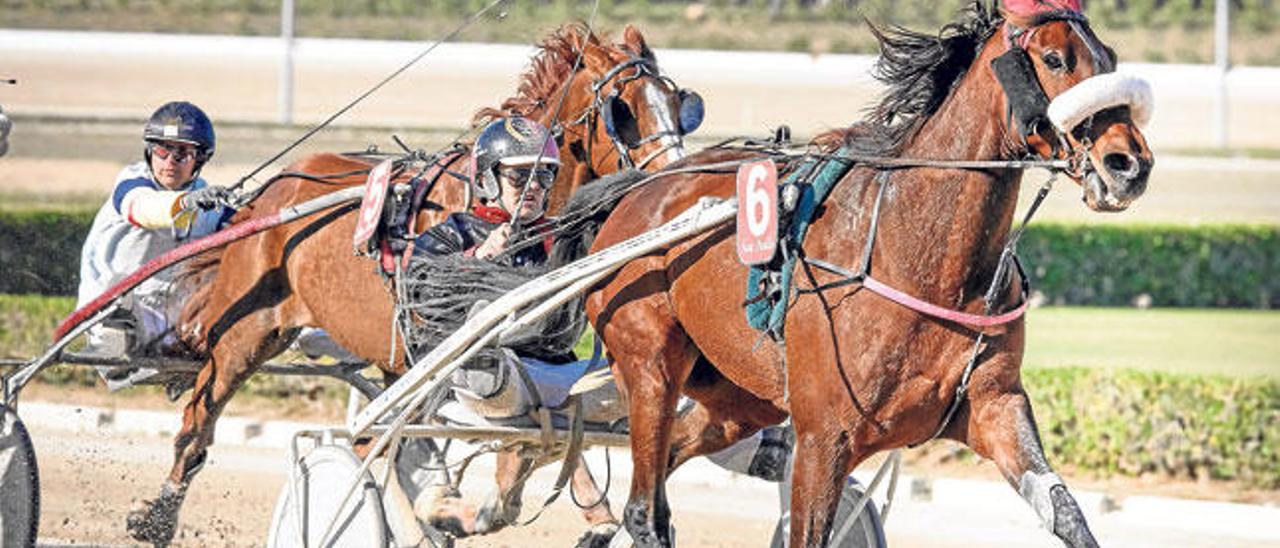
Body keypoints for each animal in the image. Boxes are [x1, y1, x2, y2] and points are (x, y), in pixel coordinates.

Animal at [124, 23, 696, 545]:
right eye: (622, 110)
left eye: (679, 104)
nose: (674, 180)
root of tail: (275, 189)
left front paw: (593, 516)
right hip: (248, 333)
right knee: (199, 422)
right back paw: (157, 518)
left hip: (383, 354)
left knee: (373, 441)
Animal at [581, 2, 1152, 545]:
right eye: (1054, 59)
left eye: (1109, 60)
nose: (1130, 165)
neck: (917, 254)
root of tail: (637, 193)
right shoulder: (823, 437)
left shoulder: (996, 407)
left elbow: (1067, 514)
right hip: (651, 366)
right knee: (645, 510)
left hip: (737, 397)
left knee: (672, 456)